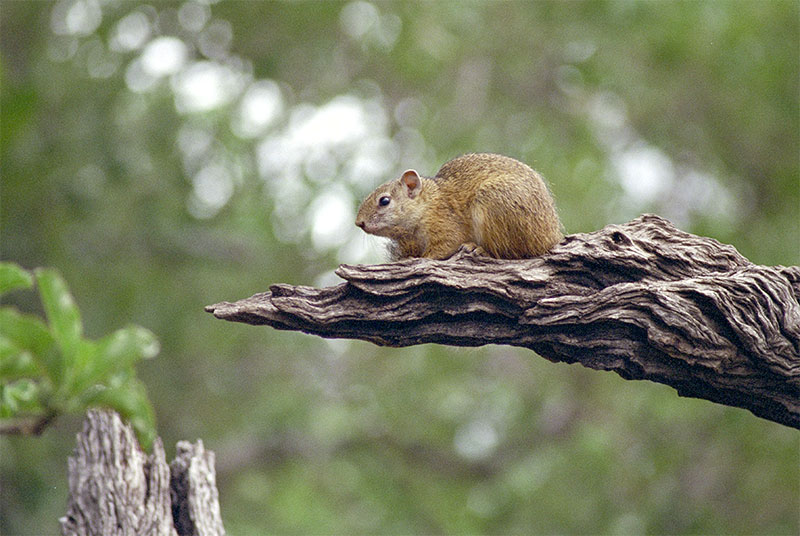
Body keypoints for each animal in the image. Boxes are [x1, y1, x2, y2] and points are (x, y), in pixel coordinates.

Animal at [356, 153, 564, 260]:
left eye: (384, 201)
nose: (359, 223)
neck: (428, 204)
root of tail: (550, 235)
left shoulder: (445, 225)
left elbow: (443, 247)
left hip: (496, 203)